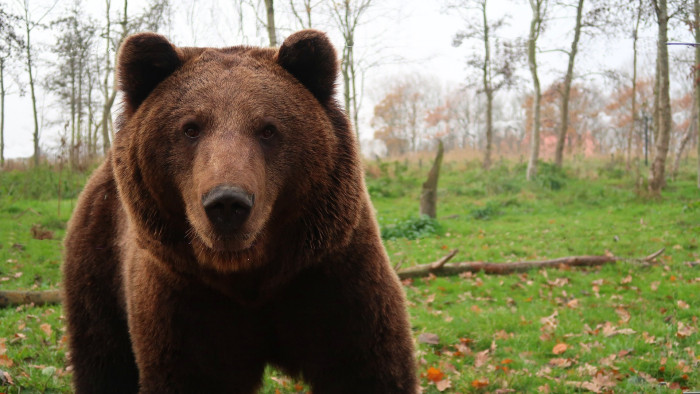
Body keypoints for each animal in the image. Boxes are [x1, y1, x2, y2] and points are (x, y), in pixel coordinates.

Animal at [61, 29, 416, 392]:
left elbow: (368, 366)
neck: (248, 276)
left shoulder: (329, 277)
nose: (227, 203)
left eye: (268, 128)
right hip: (99, 264)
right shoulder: (185, 301)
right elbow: (189, 373)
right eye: (190, 127)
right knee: (103, 358)